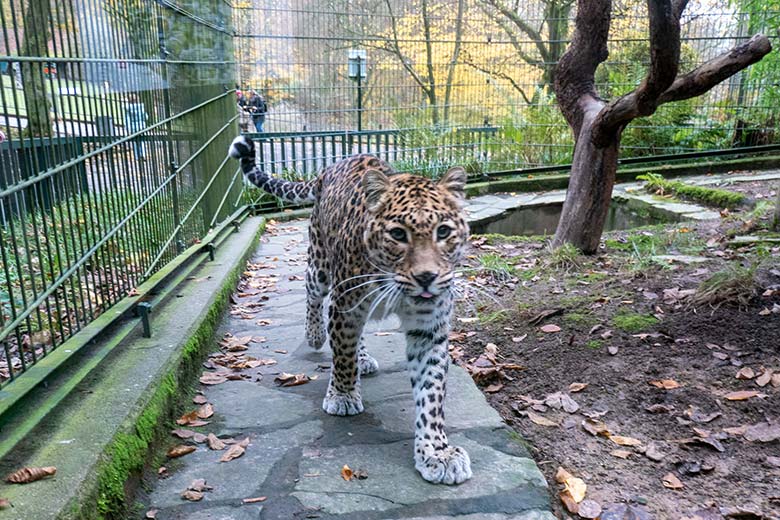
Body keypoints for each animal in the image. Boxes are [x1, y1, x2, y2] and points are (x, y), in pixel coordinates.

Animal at [229, 134, 472, 484]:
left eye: (444, 232)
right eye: (398, 234)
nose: (426, 277)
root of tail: (331, 166)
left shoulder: (429, 330)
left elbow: (432, 394)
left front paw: (438, 453)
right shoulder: (344, 306)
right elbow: (342, 355)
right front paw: (342, 397)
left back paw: (364, 357)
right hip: (320, 265)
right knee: (311, 292)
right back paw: (315, 334)